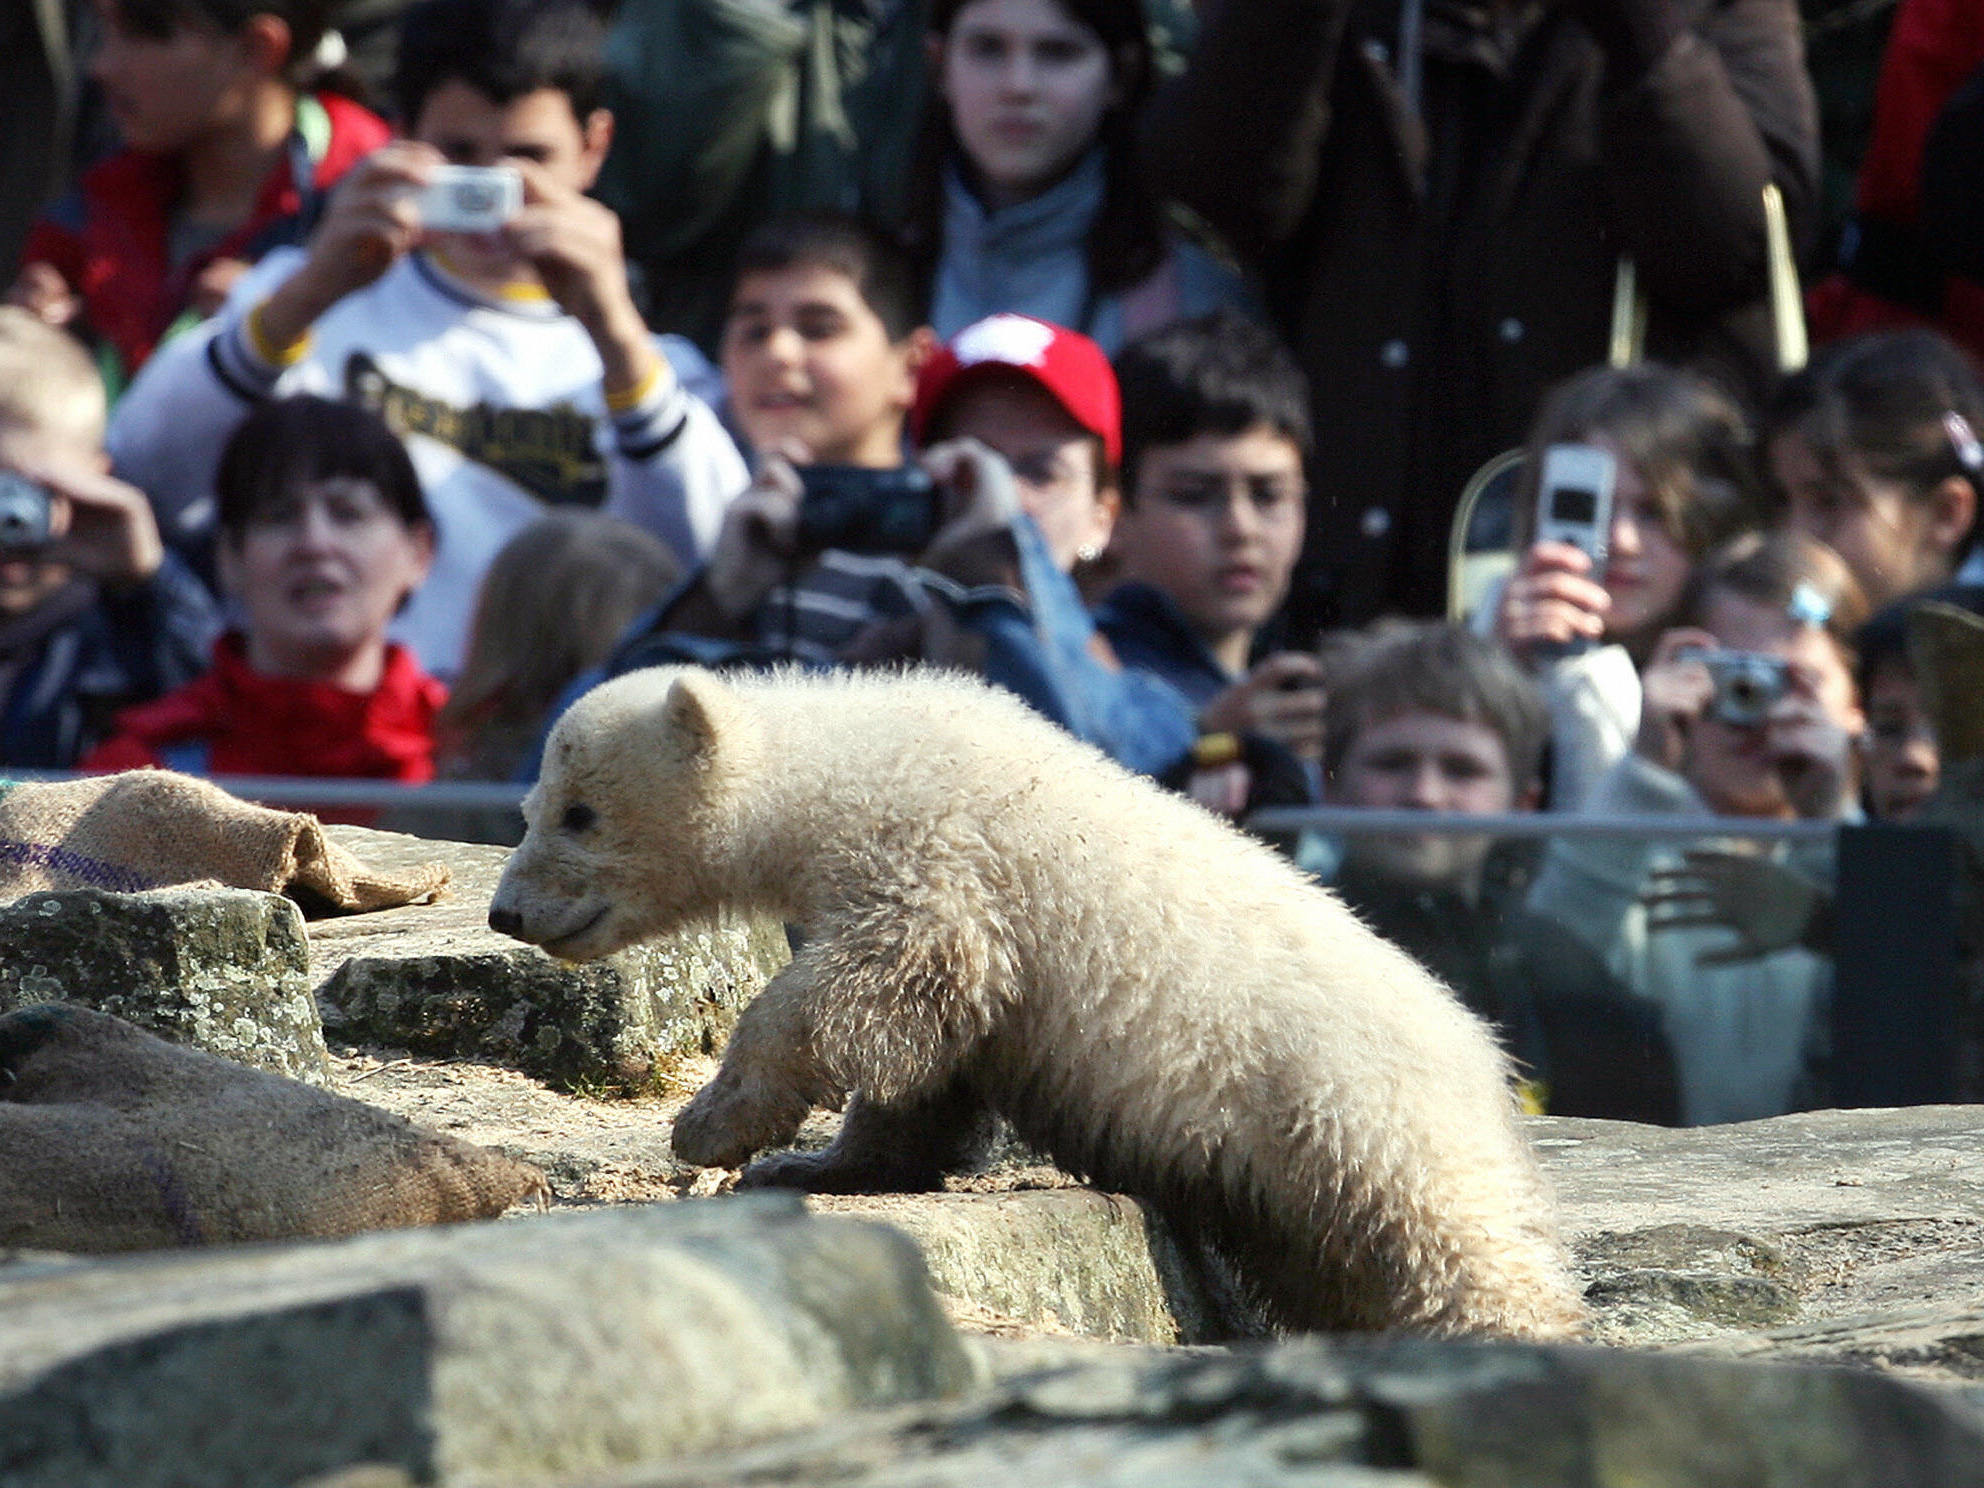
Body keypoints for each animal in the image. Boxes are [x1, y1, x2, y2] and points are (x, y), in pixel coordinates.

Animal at [488, 665, 1585, 1338]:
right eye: (530, 806)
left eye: (580, 814)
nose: (506, 910)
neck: (851, 756)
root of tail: (1483, 1053)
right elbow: (928, 1060)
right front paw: (825, 1164)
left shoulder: (932, 856)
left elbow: (869, 985)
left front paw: (716, 1125)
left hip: (1348, 1107)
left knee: (1447, 1241)